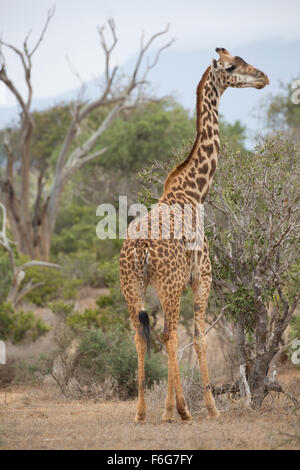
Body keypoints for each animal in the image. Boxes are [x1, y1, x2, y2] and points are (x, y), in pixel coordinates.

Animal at [119, 47, 270, 422]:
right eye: (231, 67)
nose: (263, 78)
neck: (194, 192)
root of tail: (139, 246)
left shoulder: (179, 281)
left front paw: (169, 409)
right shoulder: (202, 276)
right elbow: (200, 336)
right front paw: (210, 408)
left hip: (132, 285)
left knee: (141, 334)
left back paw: (142, 412)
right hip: (169, 283)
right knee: (169, 333)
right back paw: (183, 411)